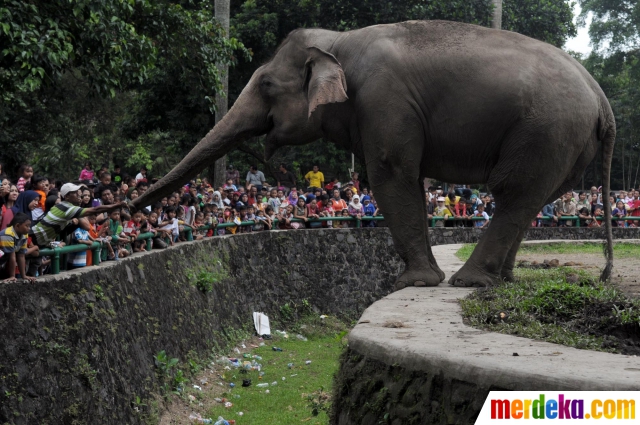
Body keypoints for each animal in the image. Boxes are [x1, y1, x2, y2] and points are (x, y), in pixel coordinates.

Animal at [131, 18, 616, 286]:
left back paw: (469, 282)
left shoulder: (384, 98)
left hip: (546, 129)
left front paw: (412, 283)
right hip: (563, 141)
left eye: (266, 84)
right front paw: (421, 280)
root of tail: (601, 96)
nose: (122, 210)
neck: (337, 42)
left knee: (514, 191)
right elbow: (407, 179)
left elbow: (391, 172)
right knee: (533, 197)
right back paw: (502, 279)